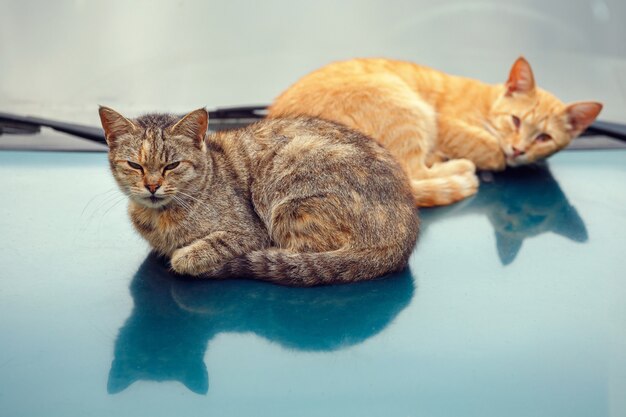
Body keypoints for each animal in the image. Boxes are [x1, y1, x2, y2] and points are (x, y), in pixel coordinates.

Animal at [97, 106, 416, 286]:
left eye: (172, 165)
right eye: (135, 165)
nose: (152, 186)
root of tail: (403, 238)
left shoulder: (250, 232)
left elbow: (208, 247)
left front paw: (186, 256)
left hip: (287, 181)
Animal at [268, 57, 600, 207]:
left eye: (544, 138)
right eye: (516, 121)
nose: (519, 149)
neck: (486, 102)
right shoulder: (445, 123)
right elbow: (488, 146)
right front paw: (495, 156)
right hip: (407, 108)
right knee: (414, 173)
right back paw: (458, 166)